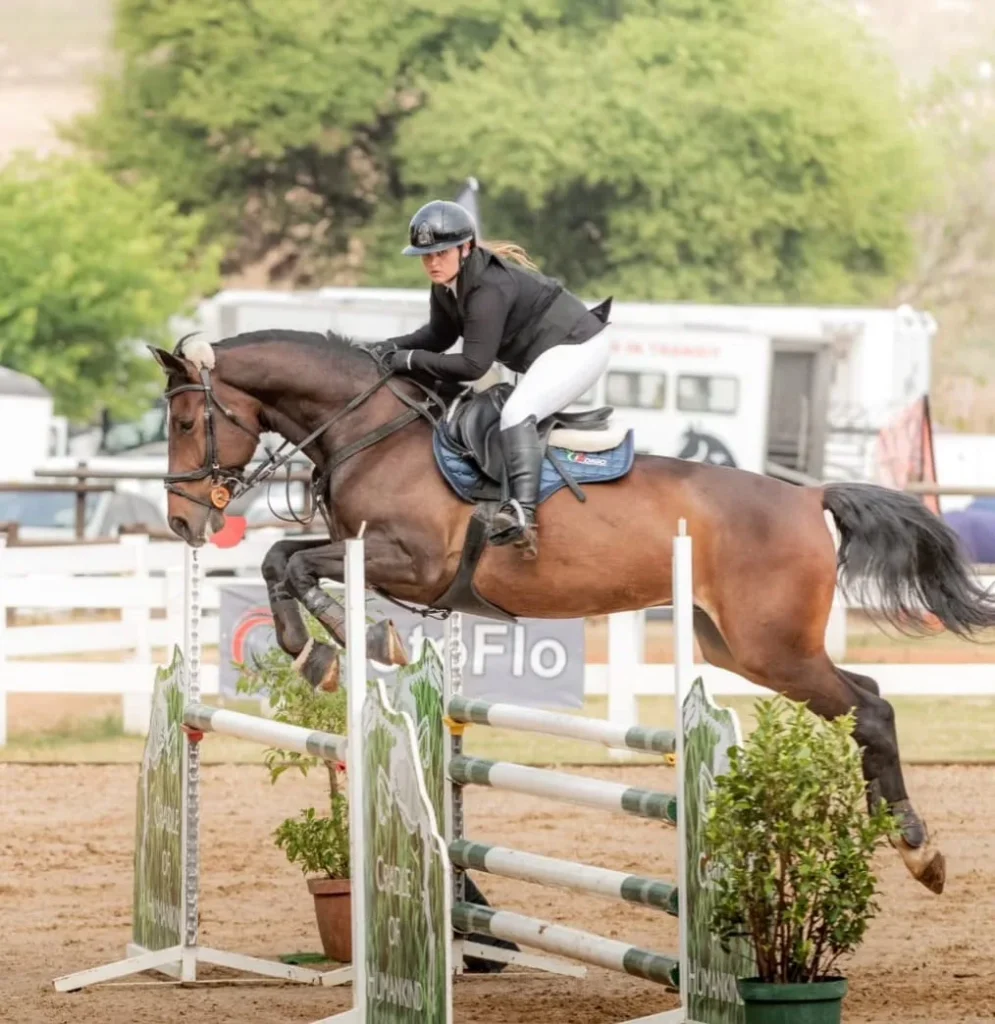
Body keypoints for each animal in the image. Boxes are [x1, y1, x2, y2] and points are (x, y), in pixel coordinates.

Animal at [151, 327, 995, 897]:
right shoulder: (374, 554)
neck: (372, 431)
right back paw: (901, 837)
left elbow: (291, 563)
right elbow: (279, 559)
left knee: (870, 709)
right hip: (738, 647)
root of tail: (808, 494)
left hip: (773, 646)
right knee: (866, 698)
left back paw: (916, 849)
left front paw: (340, 646)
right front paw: (328, 649)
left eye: (187, 423)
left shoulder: (412, 563)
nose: (184, 523)